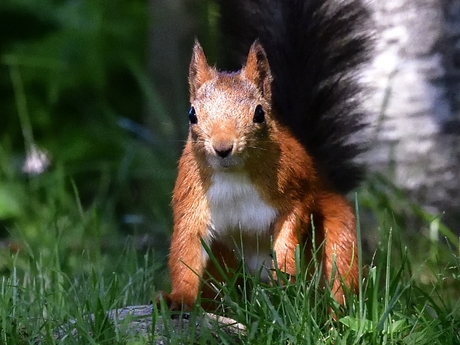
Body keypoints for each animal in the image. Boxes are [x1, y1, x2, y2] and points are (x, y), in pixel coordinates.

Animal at [158, 0, 370, 310]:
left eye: (259, 113)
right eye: (192, 114)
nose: (223, 148)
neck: (233, 174)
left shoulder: (296, 188)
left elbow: (291, 227)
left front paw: (286, 272)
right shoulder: (191, 202)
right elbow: (186, 251)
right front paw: (178, 299)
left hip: (338, 231)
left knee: (340, 271)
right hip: (222, 264)